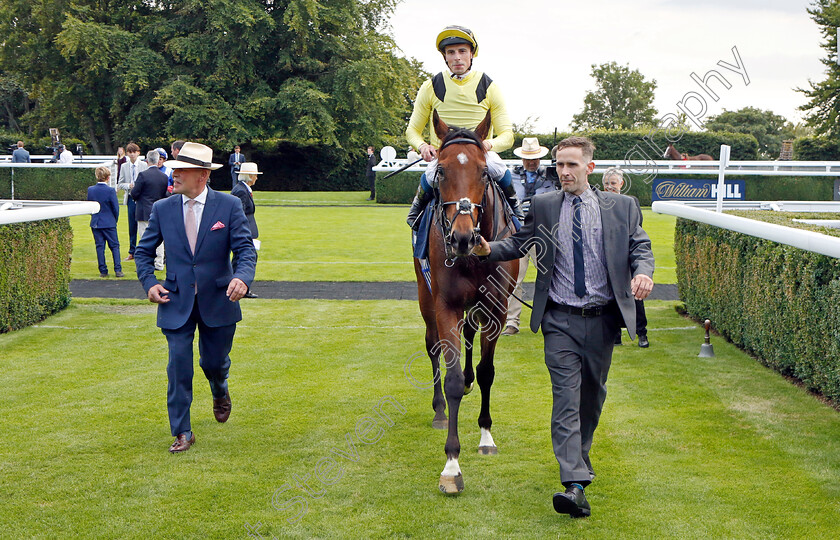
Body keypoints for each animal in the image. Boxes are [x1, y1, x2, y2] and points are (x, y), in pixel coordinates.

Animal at [412, 109, 520, 494]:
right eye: (441, 170)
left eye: (484, 172)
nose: (461, 237)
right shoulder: (445, 305)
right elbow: (453, 378)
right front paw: (451, 466)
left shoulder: (497, 308)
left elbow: (487, 372)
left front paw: (486, 436)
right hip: (424, 296)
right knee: (432, 347)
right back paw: (439, 410)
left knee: (471, 336)